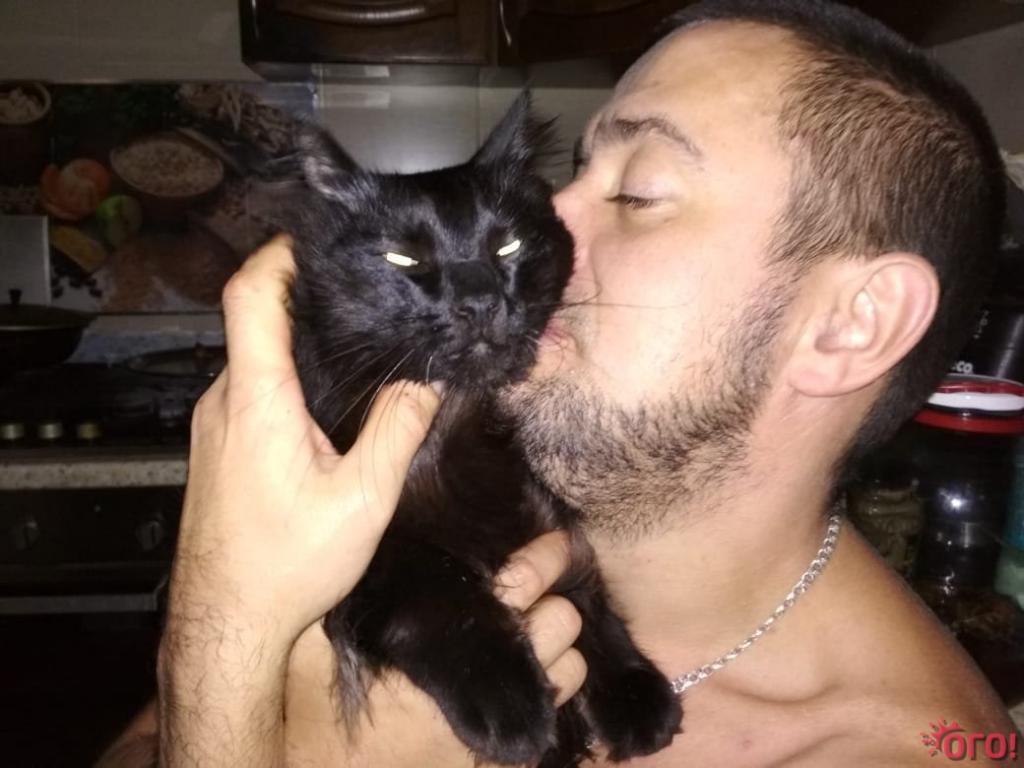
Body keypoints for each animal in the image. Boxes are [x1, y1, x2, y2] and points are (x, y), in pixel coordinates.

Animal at [288, 93, 683, 767]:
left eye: (509, 247)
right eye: (404, 258)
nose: (479, 301)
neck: (454, 423)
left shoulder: (547, 522)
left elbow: (587, 597)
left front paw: (632, 689)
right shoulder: (361, 552)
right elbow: (436, 588)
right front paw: (509, 701)